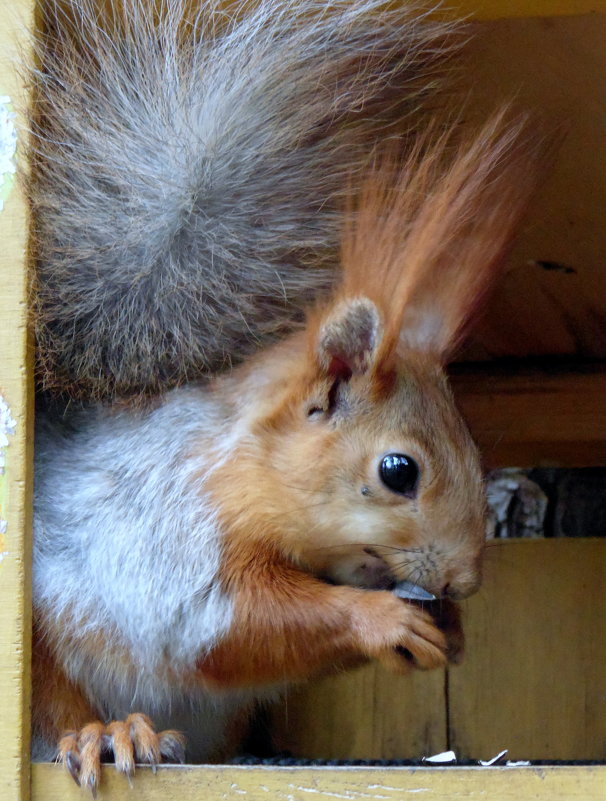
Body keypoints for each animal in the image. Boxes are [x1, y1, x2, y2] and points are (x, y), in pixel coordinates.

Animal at [26, 0, 548, 792]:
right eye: (399, 471)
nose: (464, 581)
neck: (247, 469)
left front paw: (446, 631)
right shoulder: (173, 532)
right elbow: (233, 625)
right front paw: (380, 620)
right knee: (59, 702)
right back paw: (103, 732)